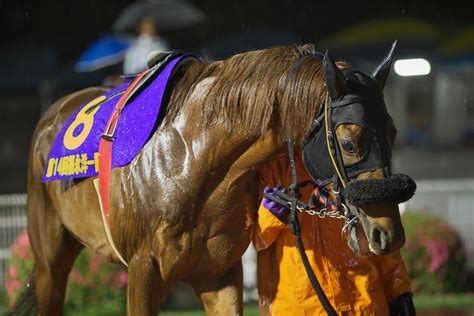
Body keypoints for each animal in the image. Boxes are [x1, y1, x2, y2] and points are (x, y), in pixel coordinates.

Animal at [14, 43, 408, 314]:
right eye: (349, 143)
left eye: (392, 133)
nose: (388, 232)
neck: (191, 162)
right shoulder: (143, 273)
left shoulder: (219, 274)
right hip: (50, 264)